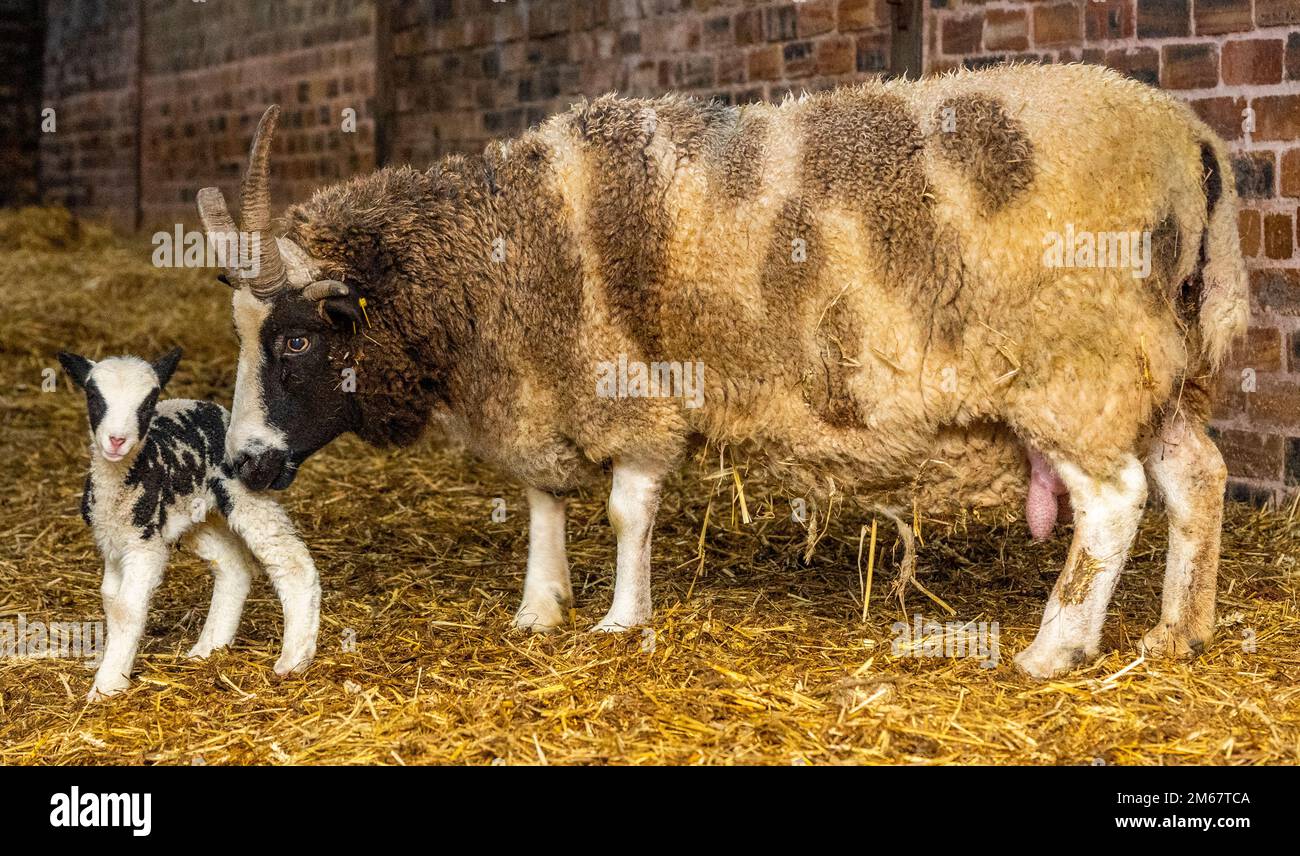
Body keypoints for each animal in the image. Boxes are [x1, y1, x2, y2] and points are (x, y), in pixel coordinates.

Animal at [59, 348, 325, 702]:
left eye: (148, 402)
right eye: (93, 396)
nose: (117, 440)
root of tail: (211, 407)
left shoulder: (145, 546)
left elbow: (127, 609)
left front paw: (108, 686)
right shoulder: (112, 543)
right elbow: (111, 602)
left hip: (245, 493)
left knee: (291, 562)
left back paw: (294, 659)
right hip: (197, 517)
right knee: (233, 566)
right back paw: (209, 648)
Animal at [195, 63, 1248, 676]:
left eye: (295, 340)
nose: (242, 462)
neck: (501, 252)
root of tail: (1196, 147)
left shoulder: (627, 394)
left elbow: (627, 510)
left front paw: (620, 620)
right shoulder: (542, 386)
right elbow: (541, 500)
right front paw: (539, 607)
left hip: (1074, 368)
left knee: (1112, 502)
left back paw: (1052, 649)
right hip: (1157, 369)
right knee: (1197, 478)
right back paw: (1176, 632)